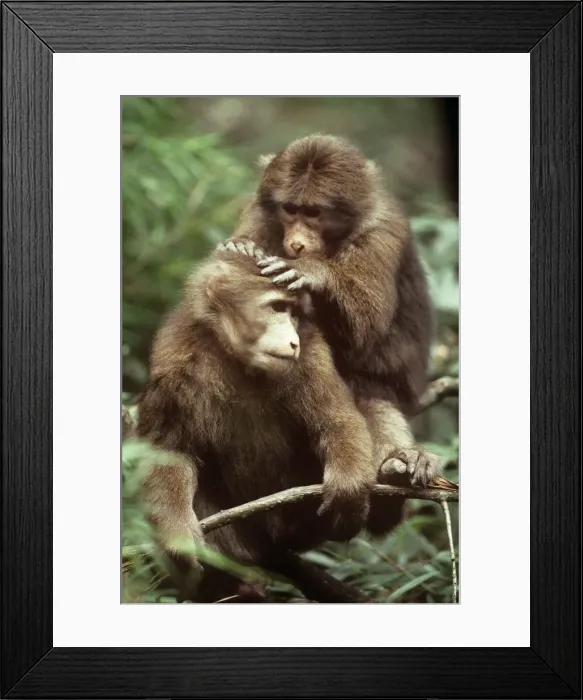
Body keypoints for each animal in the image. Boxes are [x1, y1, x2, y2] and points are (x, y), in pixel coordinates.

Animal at [136, 251, 404, 602]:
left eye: (294, 314)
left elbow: (335, 422)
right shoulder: (172, 360)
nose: (292, 340)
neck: (237, 359)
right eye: (277, 307)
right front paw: (179, 537)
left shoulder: (311, 351)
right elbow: (171, 454)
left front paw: (348, 488)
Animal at [219, 134, 441, 485]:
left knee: (366, 389)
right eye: (290, 209)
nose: (296, 242)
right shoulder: (259, 213)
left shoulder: (381, 230)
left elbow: (365, 329)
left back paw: (399, 461)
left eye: (314, 212)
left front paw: (313, 272)